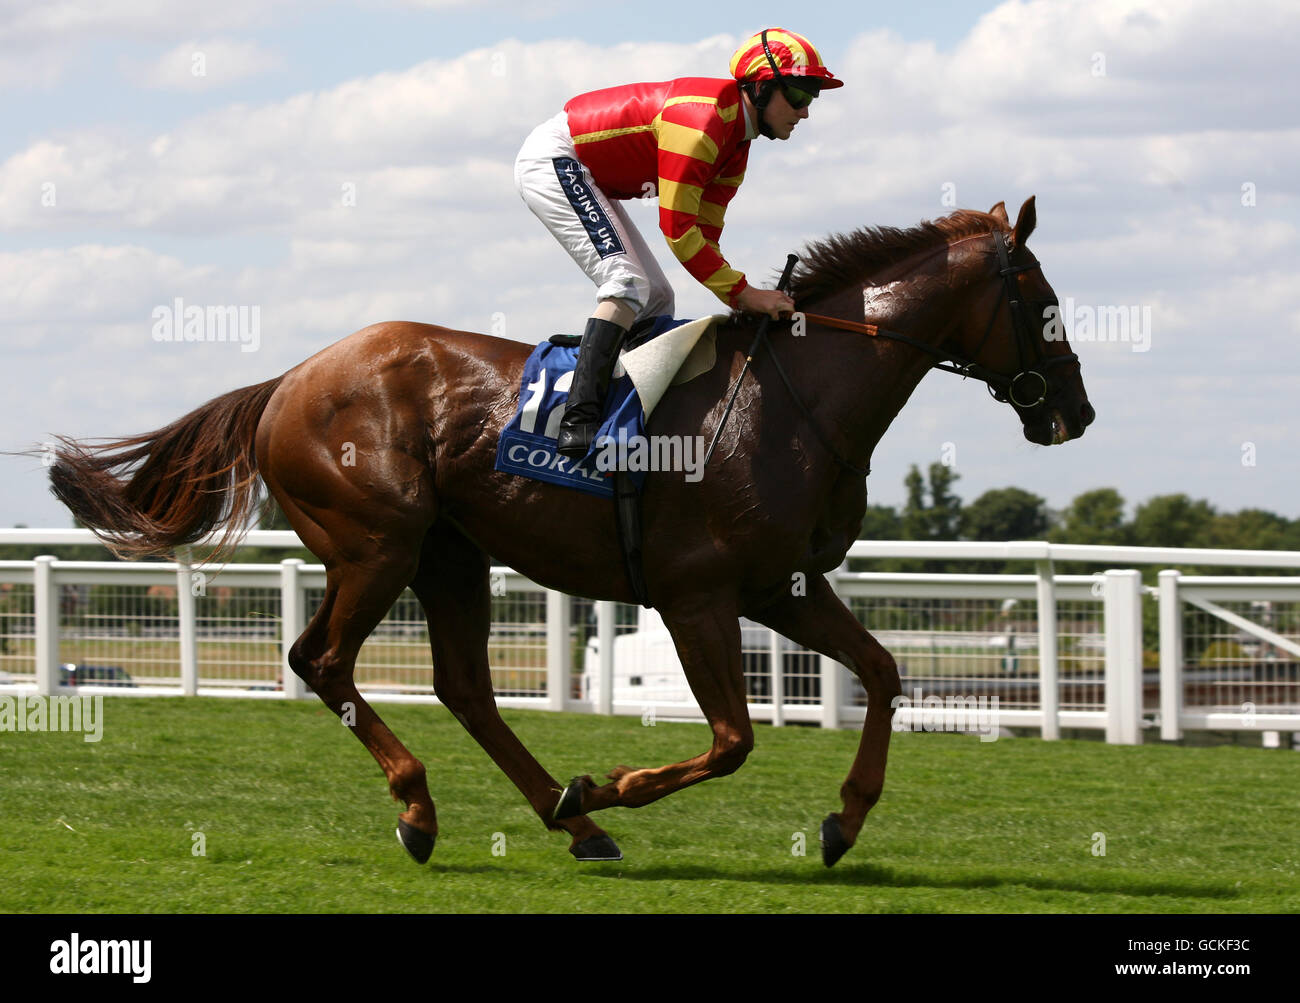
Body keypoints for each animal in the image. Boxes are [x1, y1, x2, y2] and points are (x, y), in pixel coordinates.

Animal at [45, 196, 1092, 867]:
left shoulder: (778, 586)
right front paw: (606, 784)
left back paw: (566, 821)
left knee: (463, 686)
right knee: (322, 660)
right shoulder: (696, 592)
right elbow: (732, 739)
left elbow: (880, 672)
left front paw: (844, 820)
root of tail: (290, 378)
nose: (1073, 413)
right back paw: (430, 807)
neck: (798, 401)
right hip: (377, 544)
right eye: (1043, 301)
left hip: (449, 554)